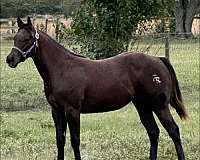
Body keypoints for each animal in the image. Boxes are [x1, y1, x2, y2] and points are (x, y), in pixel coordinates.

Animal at [6, 16, 188, 159]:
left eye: (27, 39)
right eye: (15, 38)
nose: (10, 60)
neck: (62, 68)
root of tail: (159, 60)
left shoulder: (72, 110)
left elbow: (75, 141)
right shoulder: (56, 111)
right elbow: (60, 140)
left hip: (159, 106)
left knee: (173, 131)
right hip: (143, 106)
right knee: (153, 132)